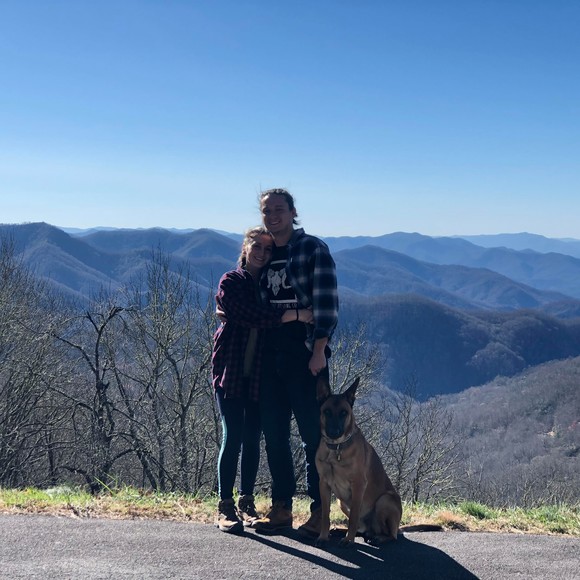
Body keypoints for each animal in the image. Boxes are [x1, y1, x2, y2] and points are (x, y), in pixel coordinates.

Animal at [315, 376, 403, 547]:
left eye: (344, 413)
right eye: (327, 411)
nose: (334, 432)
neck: (336, 448)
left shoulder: (358, 485)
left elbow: (354, 516)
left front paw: (348, 540)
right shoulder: (324, 484)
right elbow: (325, 515)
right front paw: (323, 536)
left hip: (384, 500)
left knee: (391, 535)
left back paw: (378, 538)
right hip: (341, 503)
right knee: (364, 529)